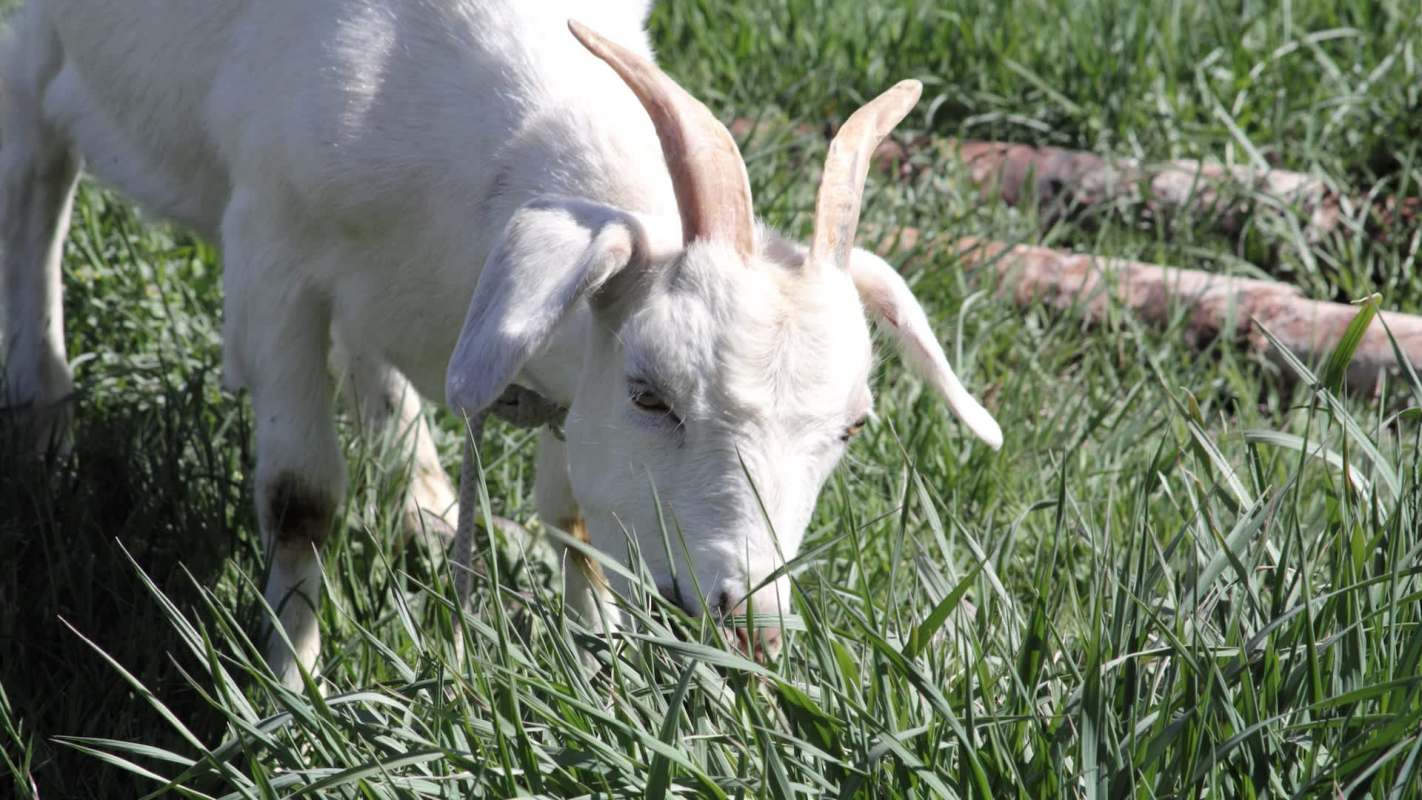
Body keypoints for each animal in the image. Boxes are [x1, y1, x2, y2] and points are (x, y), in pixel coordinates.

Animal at [1, 0, 1002, 687]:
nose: (748, 619)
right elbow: (302, 502)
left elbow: (576, 518)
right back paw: (40, 407)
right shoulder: (273, 256)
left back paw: (426, 500)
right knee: (36, 150)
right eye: (650, 393)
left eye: (851, 429)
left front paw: (596, 659)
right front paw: (290, 696)